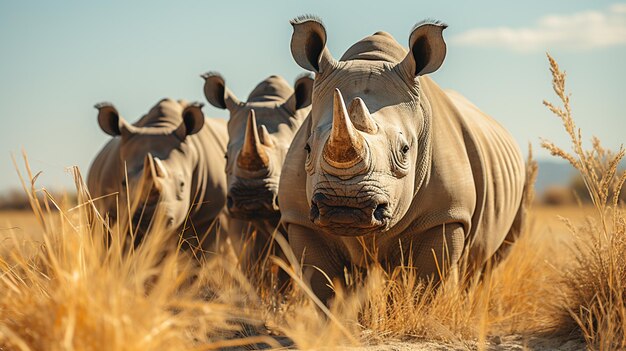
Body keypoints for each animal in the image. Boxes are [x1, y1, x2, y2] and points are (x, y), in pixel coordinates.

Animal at [86, 97, 235, 252]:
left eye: (182, 185)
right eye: (123, 183)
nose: (148, 220)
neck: (159, 126)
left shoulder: (209, 215)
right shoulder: (110, 212)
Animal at [276, 16, 520, 302]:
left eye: (404, 150)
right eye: (307, 148)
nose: (345, 205)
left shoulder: (446, 215)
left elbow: (428, 285)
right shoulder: (301, 219)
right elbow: (324, 287)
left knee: (486, 263)